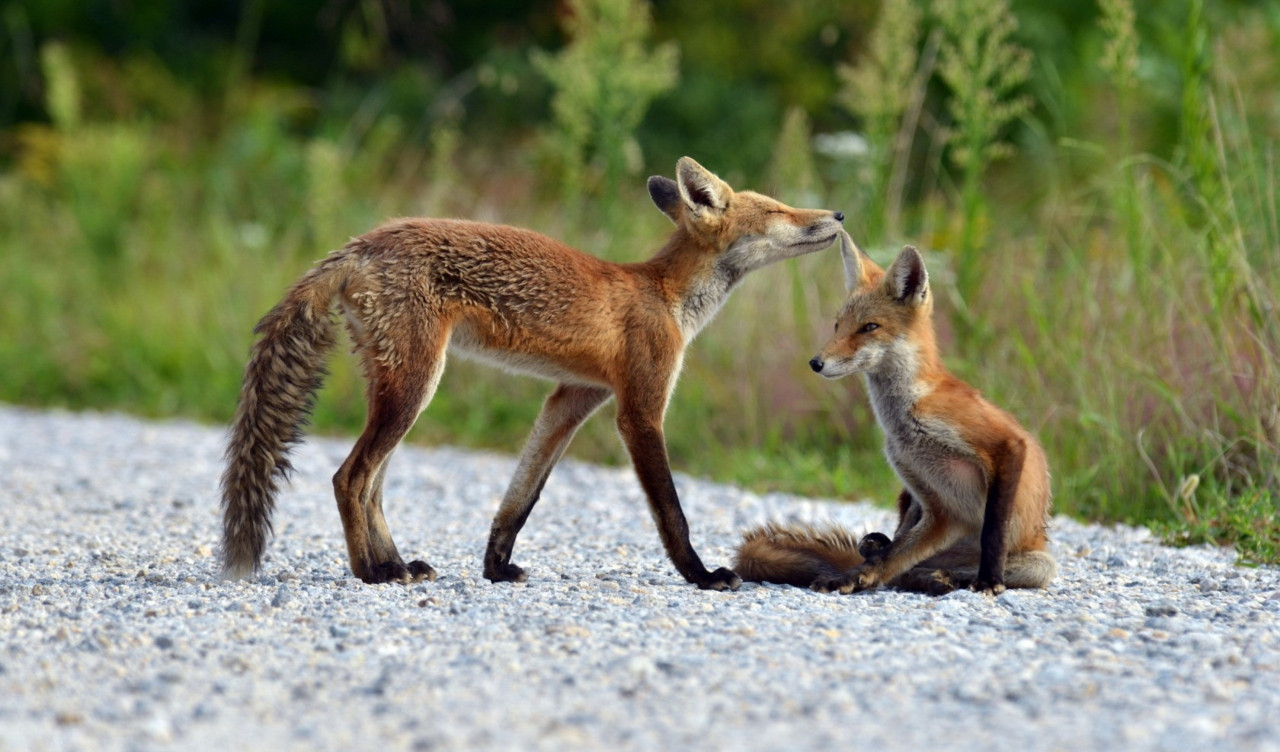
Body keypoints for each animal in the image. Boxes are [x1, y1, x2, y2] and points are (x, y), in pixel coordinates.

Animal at [217, 157, 849, 588]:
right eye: (778, 210)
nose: (839, 214)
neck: (666, 296)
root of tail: (359, 245)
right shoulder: (639, 409)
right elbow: (672, 511)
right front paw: (701, 575)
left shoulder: (572, 398)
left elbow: (519, 499)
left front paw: (496, 567)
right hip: (415, 387)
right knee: (349, 478)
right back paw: (373, 572)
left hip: (397, 388)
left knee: (371, 485)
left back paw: (393, 561)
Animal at [737, 228, 1054, 593]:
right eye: (837, 325)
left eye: (869, 327)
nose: (816, 363)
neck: (905, 414)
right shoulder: (934, 503)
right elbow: (889, 555)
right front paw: (853, 576)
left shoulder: (1005, 444)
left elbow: (992, 530)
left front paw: (990, 579)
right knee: (893, 562)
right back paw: (925, 576)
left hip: (1038, 563)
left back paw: (945, 578)